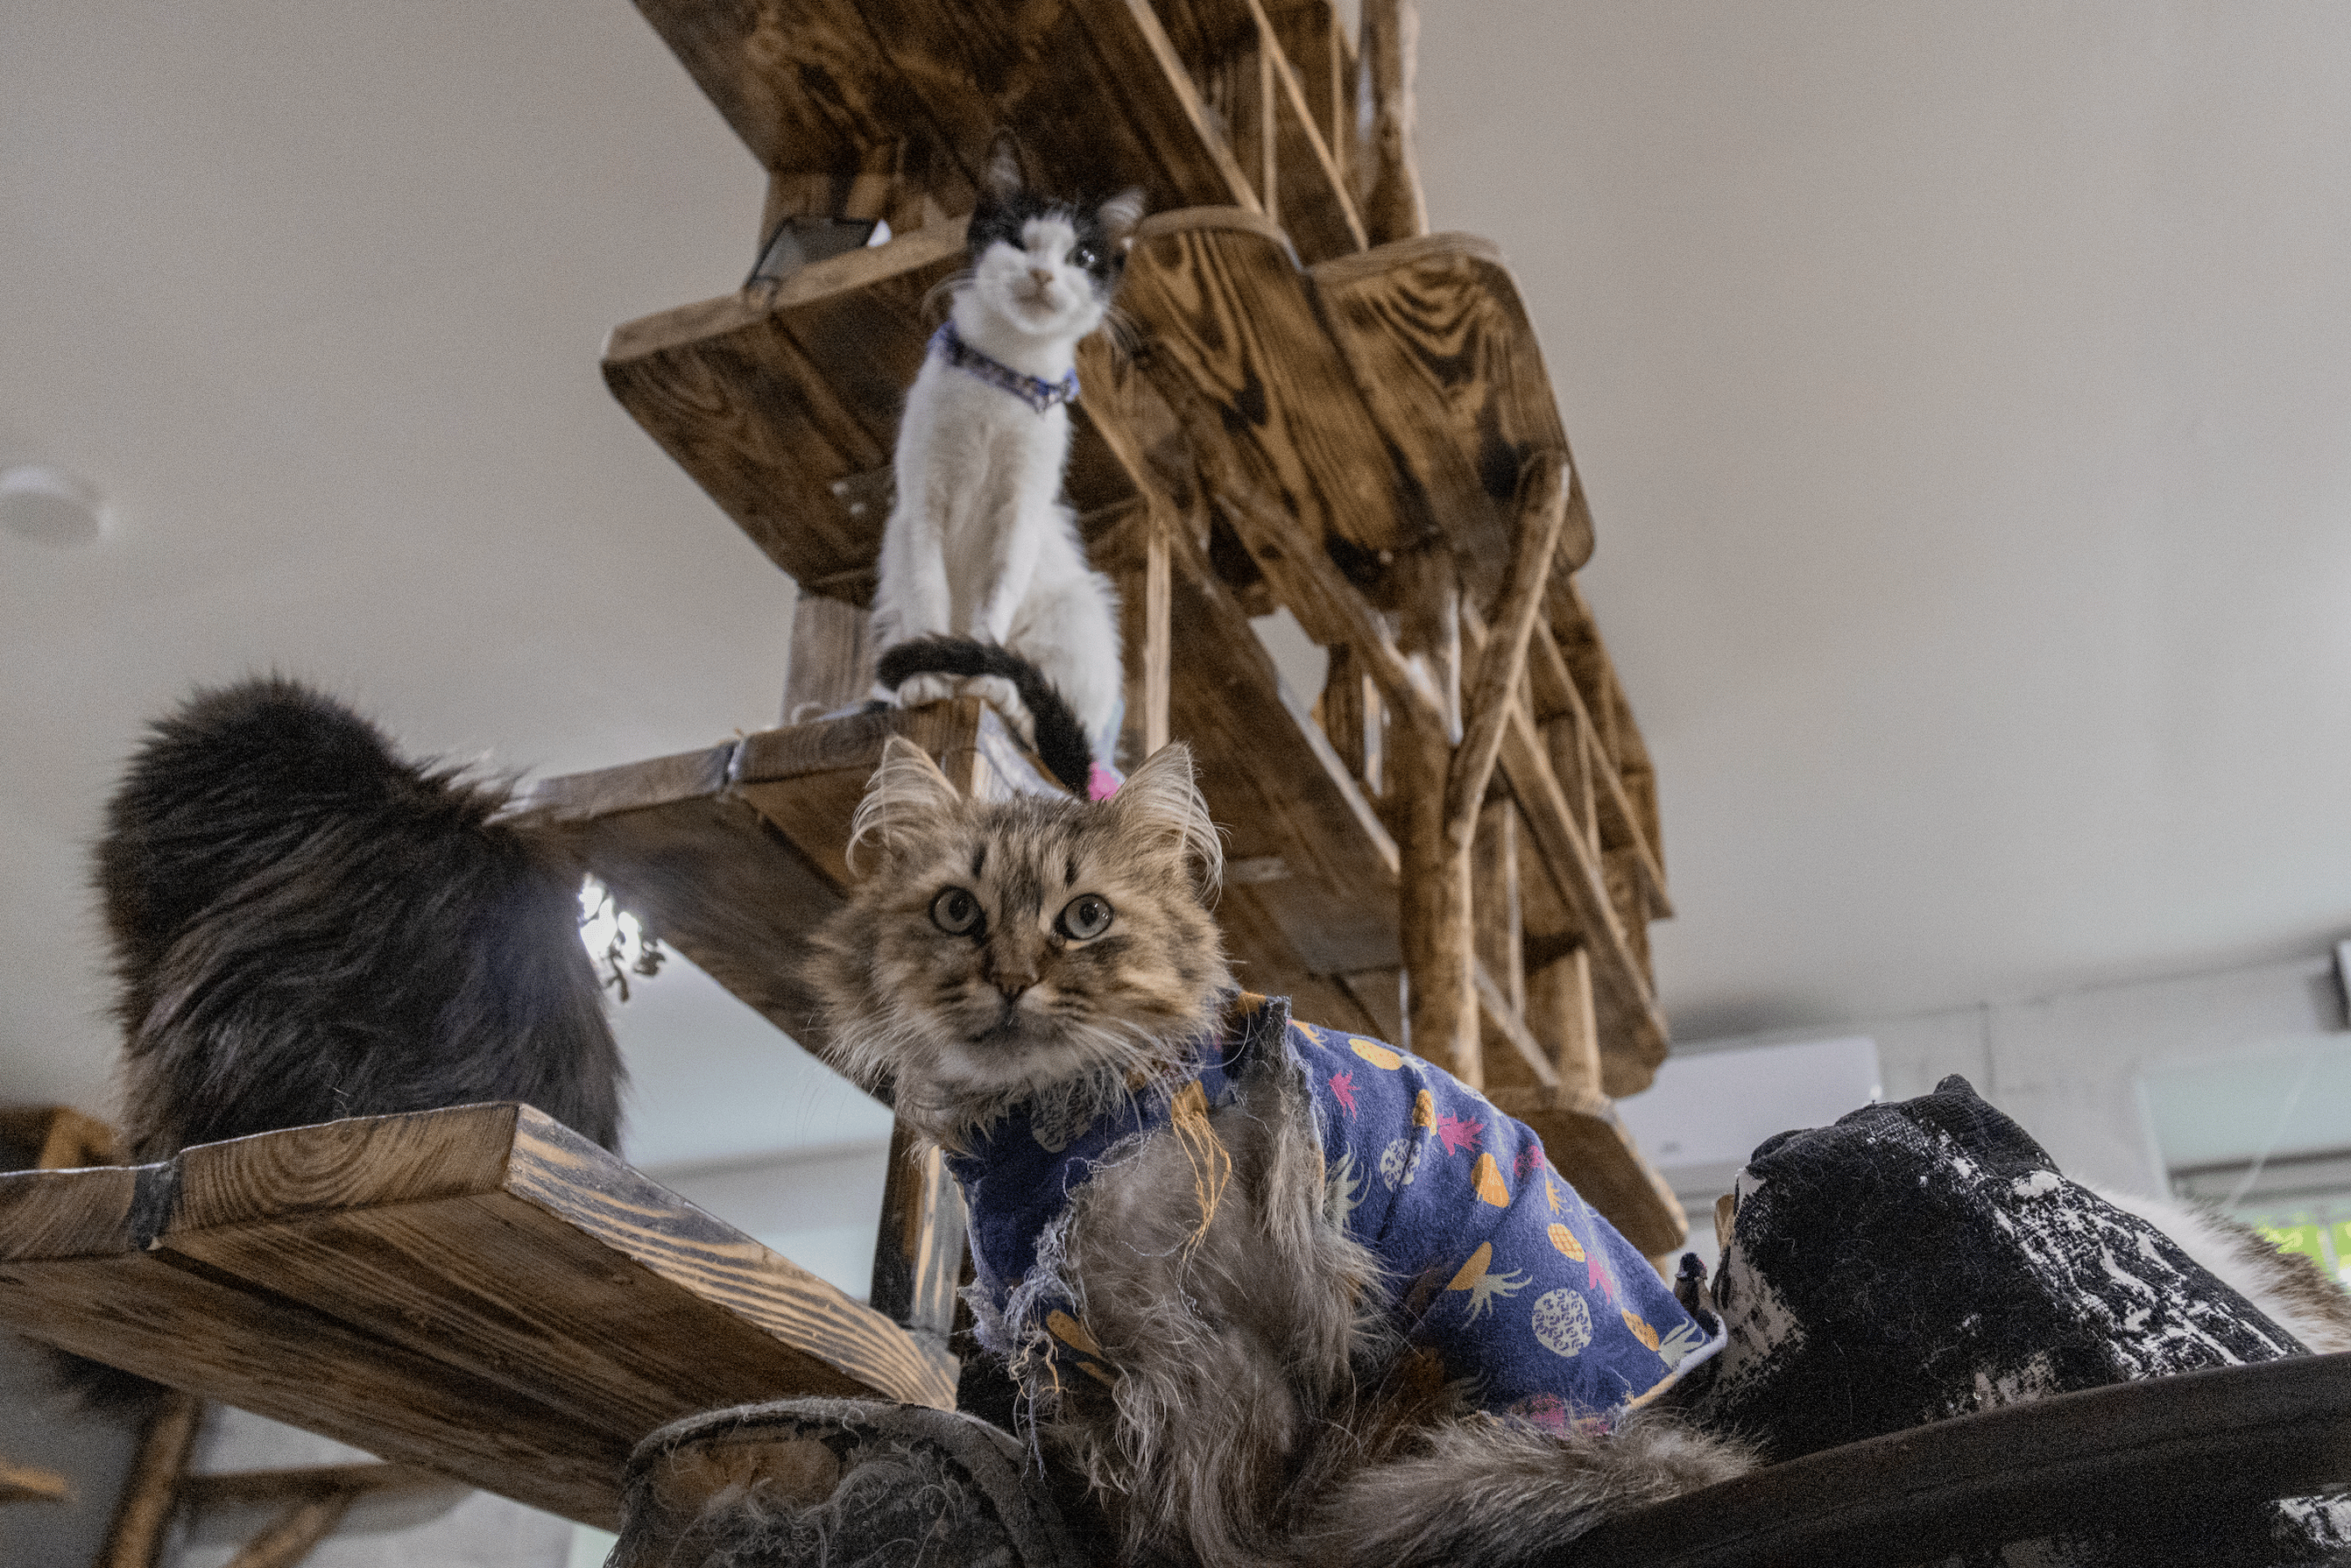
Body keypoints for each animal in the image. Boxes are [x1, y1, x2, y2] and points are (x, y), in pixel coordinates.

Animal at [808, 743, 1748, 1568]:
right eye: (956, 911)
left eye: (1085, 919)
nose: (1008, 980)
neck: (1040, 1137)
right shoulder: (1083, 1371)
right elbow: (1124, 1505)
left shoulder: (1224, 1349)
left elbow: (1213, 1512)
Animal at [874, 138, 1147, 799]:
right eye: (1020, 241)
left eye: (1082, 256)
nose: (1044, 273)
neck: (1003, 377)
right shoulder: (921, 501)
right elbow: (929, 588)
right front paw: (928, 678)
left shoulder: (1019, 510)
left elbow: (991, 604)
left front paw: (978, 674)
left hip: (1077, 614)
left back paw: (1011, 699)